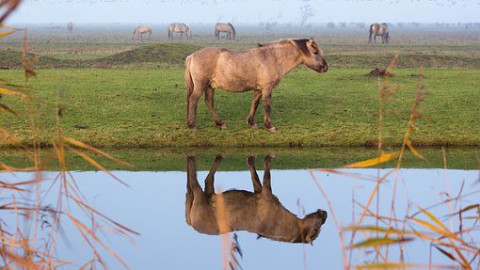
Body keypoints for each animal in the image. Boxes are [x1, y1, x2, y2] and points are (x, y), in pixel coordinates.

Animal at [184, 37, 326, 132]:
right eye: (315, 52)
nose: (326, 67)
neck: (272, 58)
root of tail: (192, 56)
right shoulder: (267, 88)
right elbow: (267, 106)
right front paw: (269, 126)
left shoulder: (259, 89)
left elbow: (255, 104)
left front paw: (251, 123)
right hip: (201, 85)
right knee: (193, 100)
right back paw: (192, 125)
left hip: (209, 86)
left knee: (209, 102)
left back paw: (220, 123)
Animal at [186, 155, 328, 244]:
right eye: (316, 230)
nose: (325, 213)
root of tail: (192, 223)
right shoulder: (266, 192)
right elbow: (266, 175)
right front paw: (267, 159)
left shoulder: (259, 191)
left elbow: (254, 174)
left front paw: (250, 160)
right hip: (199, 196)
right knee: (194, 181)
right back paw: (193, 160)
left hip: (208, 193)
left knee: (207, 180)